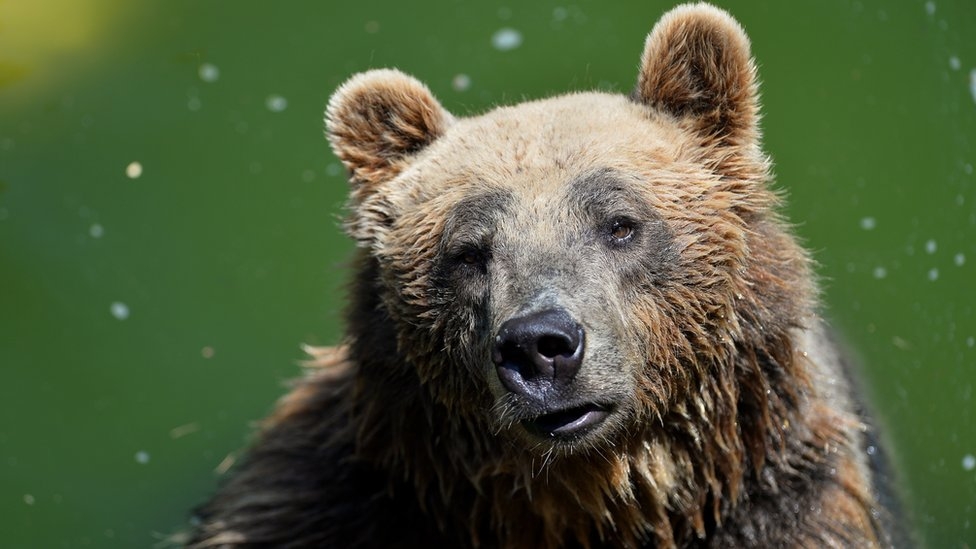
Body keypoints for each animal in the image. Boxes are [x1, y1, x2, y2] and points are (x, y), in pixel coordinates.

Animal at [188, 3, 903, 548]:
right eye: (468, 251)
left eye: (620, 224)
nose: (539, 345)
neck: (582, 500)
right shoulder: (324, 497)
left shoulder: (786, 503)